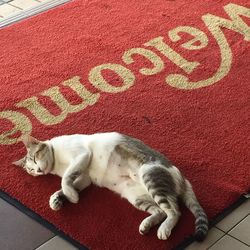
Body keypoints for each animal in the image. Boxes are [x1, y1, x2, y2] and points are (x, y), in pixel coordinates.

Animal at [14, 132, 209, 241]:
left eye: (34, 158)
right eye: (30, 170)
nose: (38, 170)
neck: (57, 165)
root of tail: (181, 177)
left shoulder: (82, 156)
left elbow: (66, 179)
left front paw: (72, 197)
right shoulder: (84, 178)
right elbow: (68, 184)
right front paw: (58, 199)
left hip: (151, 177)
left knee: (175, 211)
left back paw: (164, 229)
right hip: (135, 196)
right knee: (160, 211)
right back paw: (146, 225)